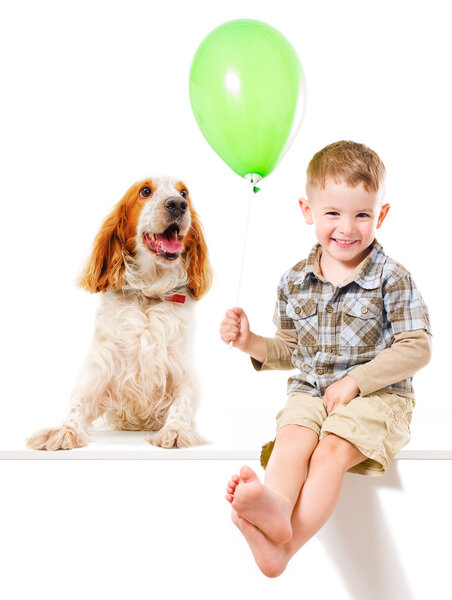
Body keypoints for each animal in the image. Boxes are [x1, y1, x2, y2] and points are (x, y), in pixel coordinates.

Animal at [26, 177, 212, 450]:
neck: (149, 296)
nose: (177, 204)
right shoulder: (99, 369)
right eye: (145, 191)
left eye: (184, 193)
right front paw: (63, 431)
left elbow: (182, 403)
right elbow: (76, 404)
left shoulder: (183, 372)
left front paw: (176, 430)